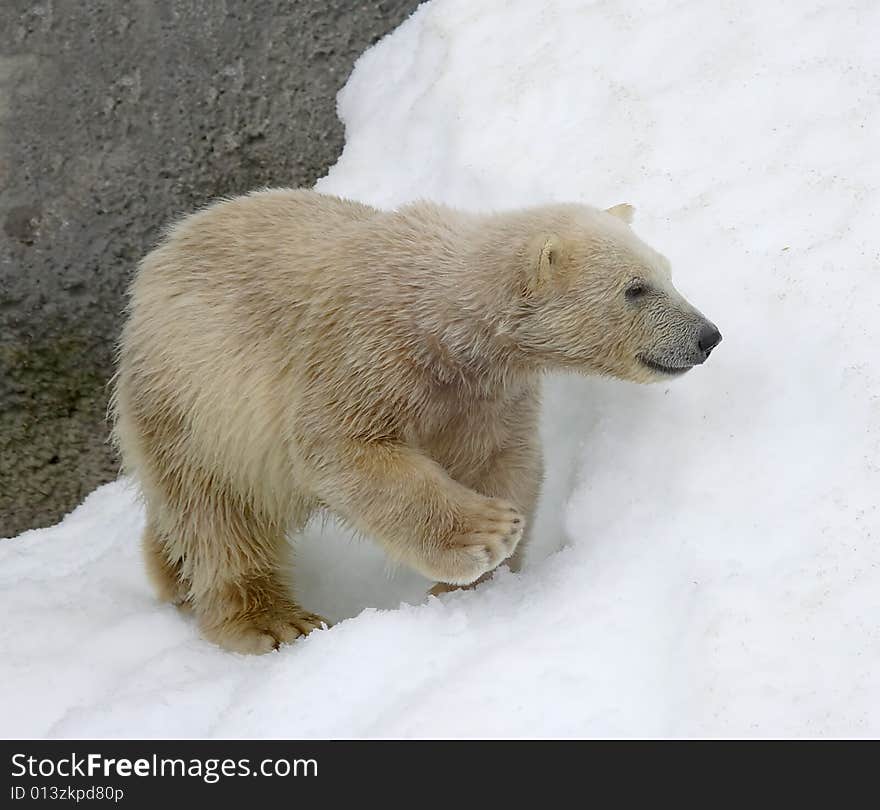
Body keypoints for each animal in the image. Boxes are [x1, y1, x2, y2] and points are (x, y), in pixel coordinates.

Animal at [111, 188, 720, 652]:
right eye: (635, 288)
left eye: (668, 272)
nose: (707, 336)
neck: (446, 319)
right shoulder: (368, 349)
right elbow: (342, 447)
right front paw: (485, 537)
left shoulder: (484, 391)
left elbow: (504, 458)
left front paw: (481, 579)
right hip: (188, 399)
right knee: (218, 515)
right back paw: (274, 622)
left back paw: (169, 573)